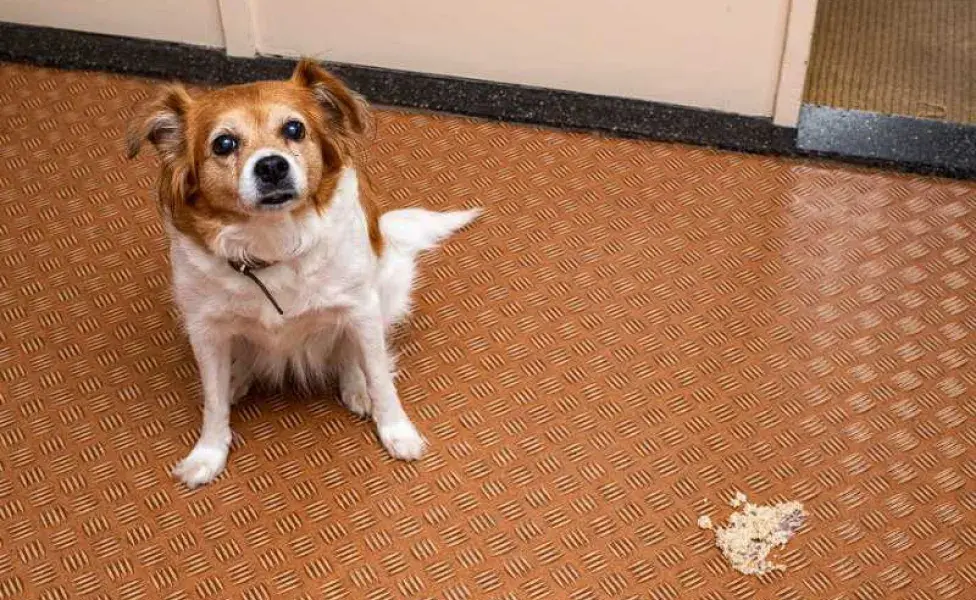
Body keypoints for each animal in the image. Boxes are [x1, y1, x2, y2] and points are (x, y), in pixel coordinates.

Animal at [129, 59, 480, 488]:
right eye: (223, 144)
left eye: (294, 129)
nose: (272, 165)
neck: (271, 246)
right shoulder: (204, 328)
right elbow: (212, 402)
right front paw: (208, 454)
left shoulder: (361, 308)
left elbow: (381, 377)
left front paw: (397, 431)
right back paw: (238, 378)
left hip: (388, 289)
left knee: (355, 355)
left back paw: (356, 386)